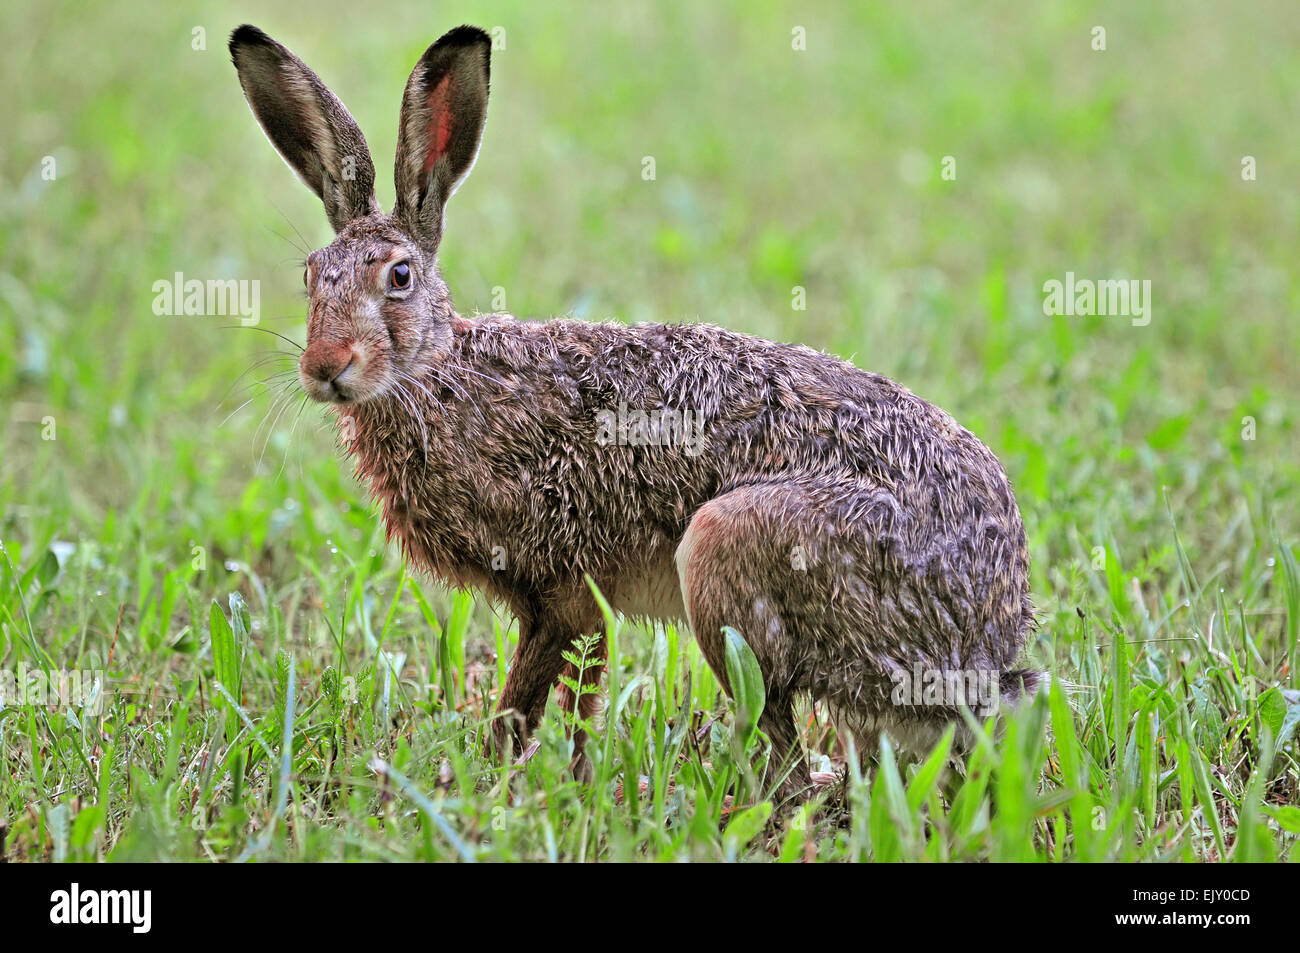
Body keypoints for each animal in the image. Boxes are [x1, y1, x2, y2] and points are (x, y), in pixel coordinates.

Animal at [229, 23, 1041, 800]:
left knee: (783, 754)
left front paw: (508, 786)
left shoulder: (561, 588)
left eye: (398, 276)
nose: (324, 367)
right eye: (312, 277)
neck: (438, 374)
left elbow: (532, 699)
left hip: (727, 547)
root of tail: (984, 648)